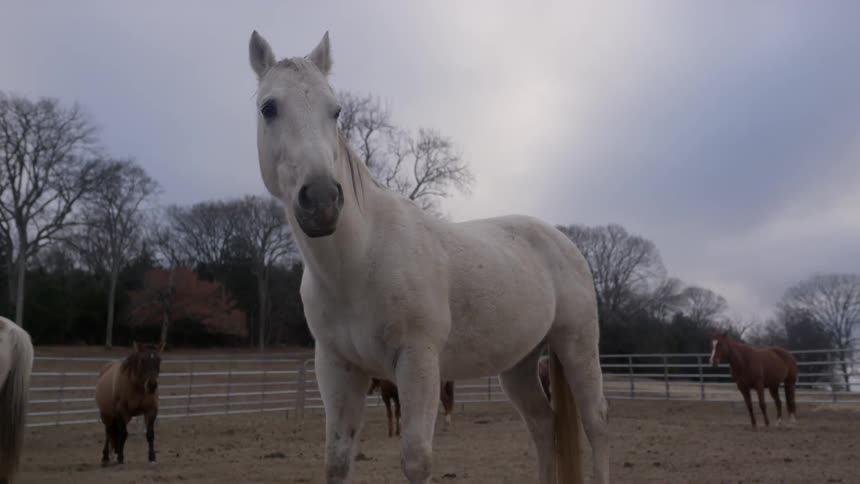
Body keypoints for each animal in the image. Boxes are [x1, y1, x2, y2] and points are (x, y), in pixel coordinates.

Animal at [247, 31, 609, 484]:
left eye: (336, 111)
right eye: (269, 107)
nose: (322, 201)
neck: (358, 262)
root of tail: (563, 241)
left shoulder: (417, 362)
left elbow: (416, 460)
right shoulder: (337, 368)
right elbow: (337, 460)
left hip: (577, 347)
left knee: (596, 425)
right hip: (520, 365)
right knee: (544, 427)